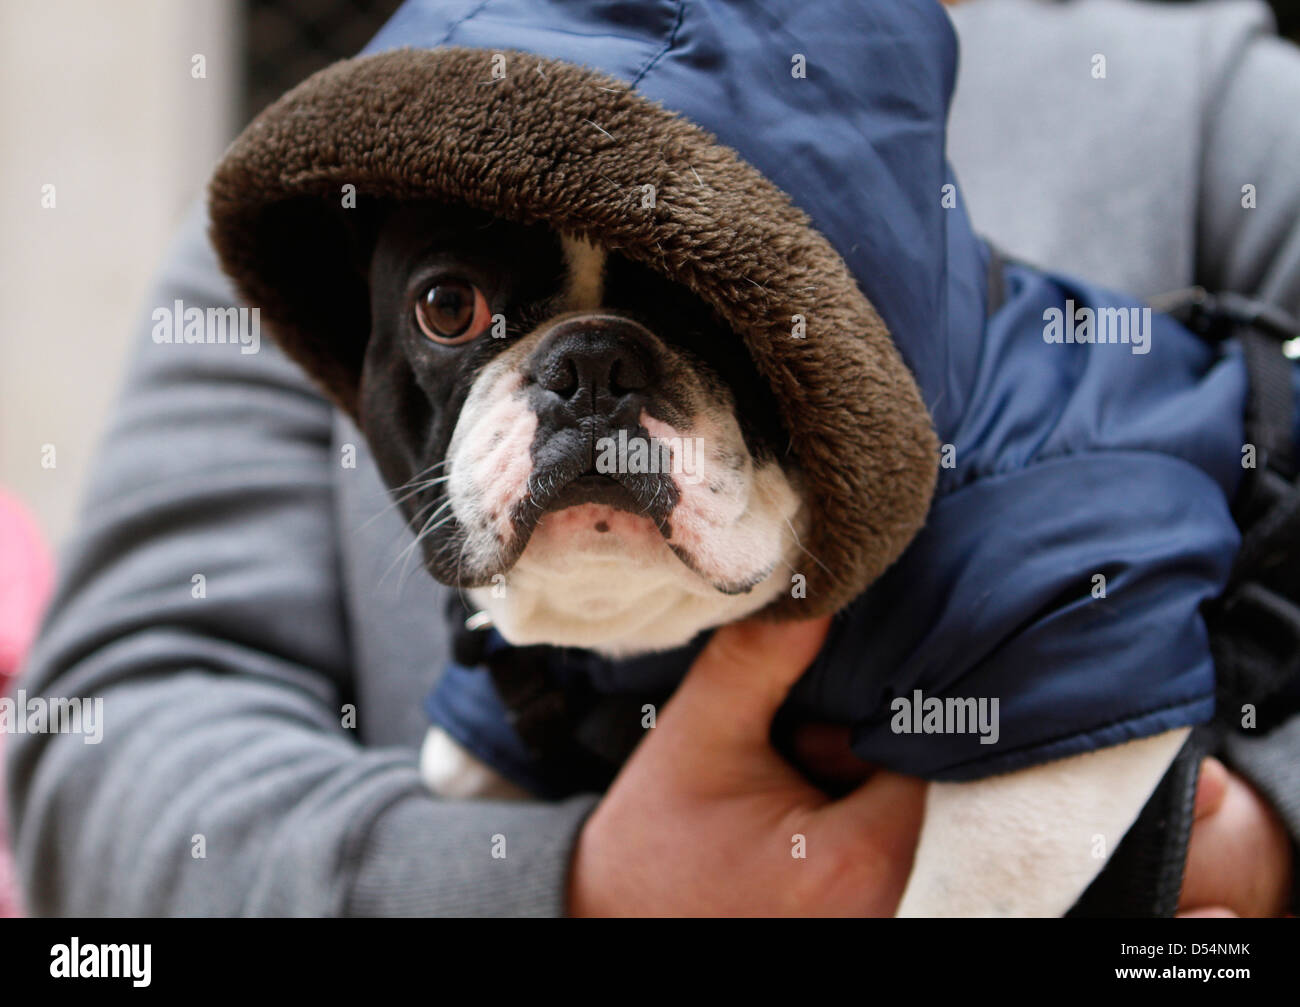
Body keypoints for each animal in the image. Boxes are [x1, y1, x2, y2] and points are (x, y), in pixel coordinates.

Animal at [348, 198, 1190, 919]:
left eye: (727, 310)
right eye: (448, 307)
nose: (591, 363)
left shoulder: (1052, 676)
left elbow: (966, 889)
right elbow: (456, 764)